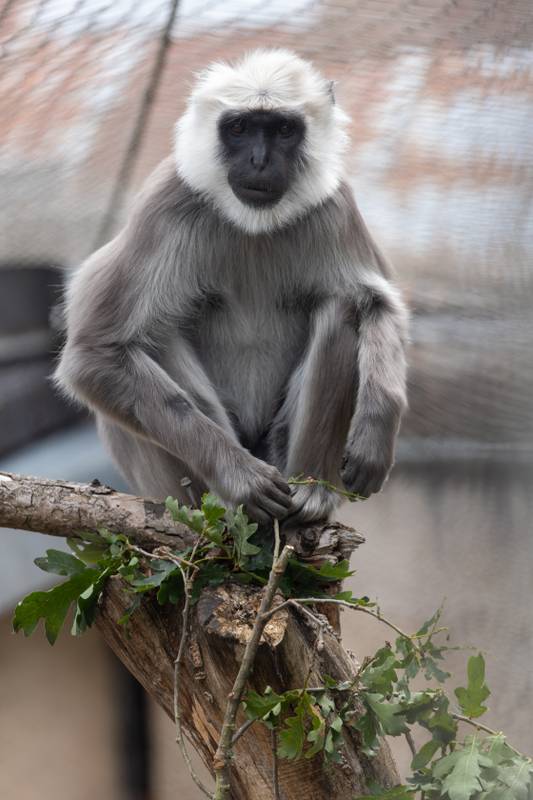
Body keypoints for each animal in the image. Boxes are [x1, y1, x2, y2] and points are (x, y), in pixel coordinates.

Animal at [55, 49, 408, 527]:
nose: (259, 161)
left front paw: (375, 431)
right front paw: (239, 479)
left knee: (342, 309)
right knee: (154, 335)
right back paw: (227, 502)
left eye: (282, 130)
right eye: (239, 128)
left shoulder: (335, 205)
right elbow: (93, 353)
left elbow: (377, 304)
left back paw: (312, 491)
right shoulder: (167, 202)